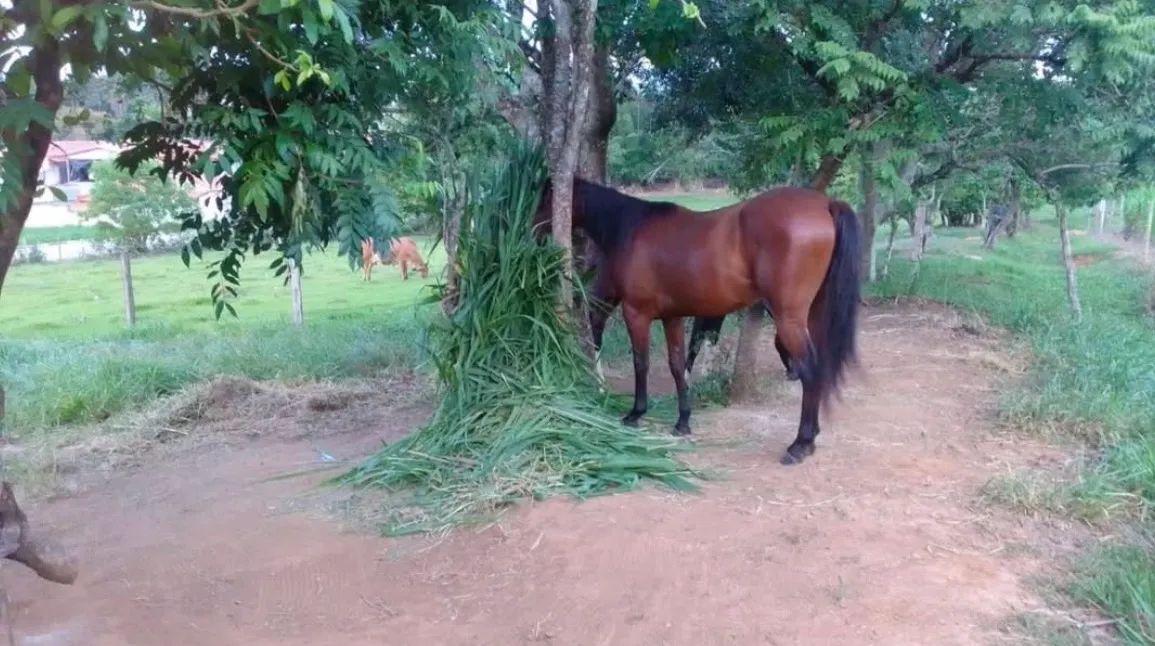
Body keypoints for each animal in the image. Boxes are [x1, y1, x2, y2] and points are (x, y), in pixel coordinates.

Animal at [532, 178, 861, 465]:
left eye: (546, 197)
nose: (533, 230)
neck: (632, 229)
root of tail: (825, 204)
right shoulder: (673, 318)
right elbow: (678, 366)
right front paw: (683, 421)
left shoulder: (637, 314)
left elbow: (642, 363)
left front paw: (636, 414)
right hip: (812, 315)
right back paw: (810, 438)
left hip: (789, 318)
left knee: (810, 371)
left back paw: (800, 444)